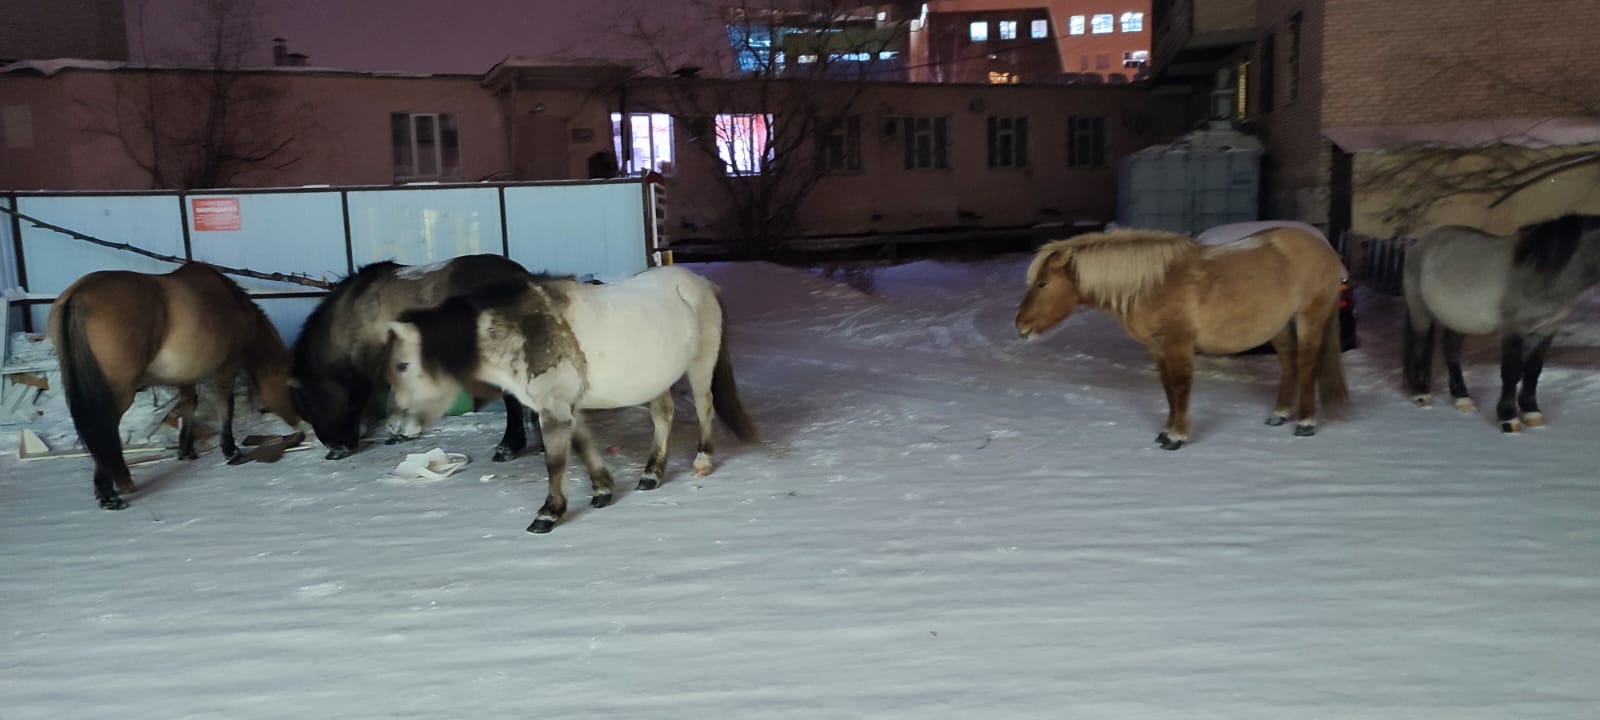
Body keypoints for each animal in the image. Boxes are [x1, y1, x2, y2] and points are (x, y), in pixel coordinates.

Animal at [48, 260, 302, 508]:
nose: (301, 424)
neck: (235, 302)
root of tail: (79, 295)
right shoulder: (226, 367)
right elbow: (225, 405)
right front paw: (230, 450)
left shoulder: (186, 375)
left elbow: (189, 404)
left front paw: (186, 450)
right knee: (103, 428)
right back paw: (110, 495)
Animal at [387, 265, 761, 534]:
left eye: (403, 365)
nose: (396, 427)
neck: (525, 330)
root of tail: (703, 284)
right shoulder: (566, 407)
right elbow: (582, 446)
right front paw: (602, 490)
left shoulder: (553, 410)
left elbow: (555, 462)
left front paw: (548, 514)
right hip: (658, 379)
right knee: (663, 417)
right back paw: (651, 474)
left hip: (701, 365)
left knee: (704, 405)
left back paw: (702, 461)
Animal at [1011, 227, 1350, 448]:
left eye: (1042, 283)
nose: (1020, 326)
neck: (1153, 284)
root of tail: (1324, 247)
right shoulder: (1158, 349)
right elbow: (1168, 390)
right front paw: (1166, 431)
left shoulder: (1178, 344)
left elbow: (1181, 387)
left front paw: (1177, 436)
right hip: (1278, 326)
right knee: (1290, 363)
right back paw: (1279, 414)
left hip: (1309, 318)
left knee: (1307, 364)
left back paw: (1305, 423)